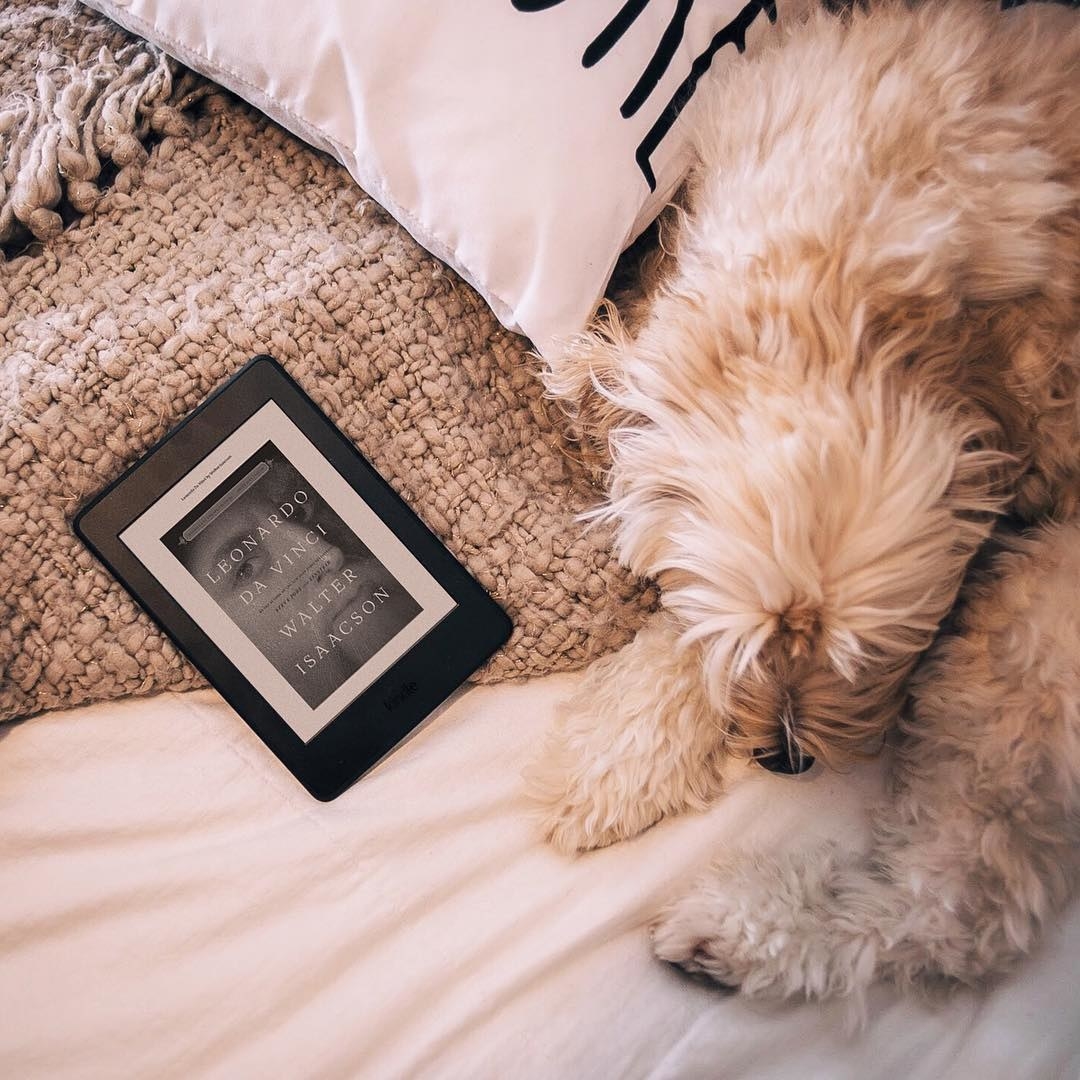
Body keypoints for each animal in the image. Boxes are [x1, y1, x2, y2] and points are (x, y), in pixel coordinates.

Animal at [527, 0, 1080, 993]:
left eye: (869, 656)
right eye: (758, 645)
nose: (784, 759)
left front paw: (614, 757)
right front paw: (621, 757)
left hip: (1032, 616)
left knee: (961, 905)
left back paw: (741, 929)